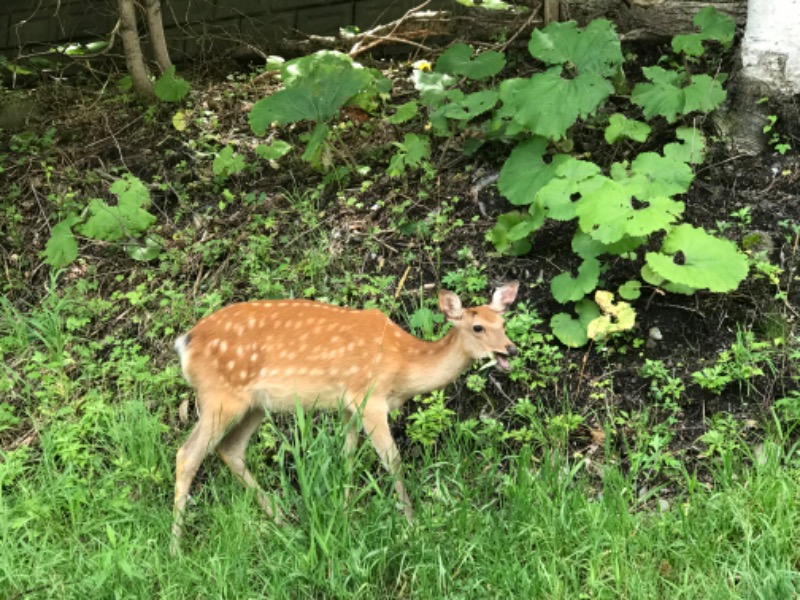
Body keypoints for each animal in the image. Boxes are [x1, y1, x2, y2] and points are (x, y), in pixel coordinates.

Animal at [170, 282, 520, 552]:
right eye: (478, 327)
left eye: (503, 324)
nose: (511, 350)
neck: (403, 368)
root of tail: (185, 343)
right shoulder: (370, 399)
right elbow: (392, 461)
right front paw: (411, 524)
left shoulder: (349, 407)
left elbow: (347, 457)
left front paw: (346, 513)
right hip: (220, 396)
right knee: (188, 453)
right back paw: (176, 547)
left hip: (255, 404)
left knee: (229, 449)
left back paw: (285, 522)